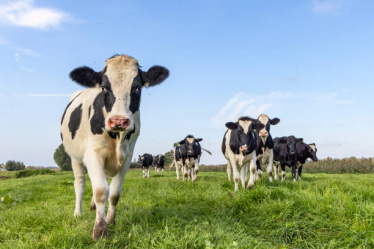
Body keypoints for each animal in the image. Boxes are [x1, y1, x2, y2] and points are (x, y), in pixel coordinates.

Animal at [60, 54, 169, 239]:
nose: (118, 121)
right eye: (104, 88)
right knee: (80, 184)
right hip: (75, 158)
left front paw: (110, 220)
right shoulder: (93, 153)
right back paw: (78, 213)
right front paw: (100, 230)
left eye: (137, 88)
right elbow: (101, 191)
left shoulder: (128, 157)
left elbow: (114, 192)